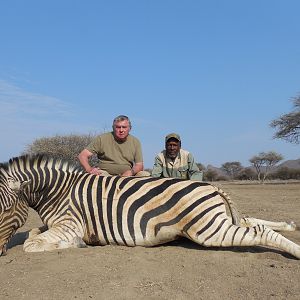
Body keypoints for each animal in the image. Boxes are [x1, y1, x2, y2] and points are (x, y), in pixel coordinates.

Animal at [0, 155, 298, 258]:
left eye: (4, 209)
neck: (59, 191)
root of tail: (211, 186)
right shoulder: (56, 225)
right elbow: (32, 233)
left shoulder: (69, 225)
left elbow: (30, 243)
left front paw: (76, 244)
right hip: (219, 220)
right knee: (251, 221)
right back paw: (290, 224)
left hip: (208, 229)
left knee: (259, 231)